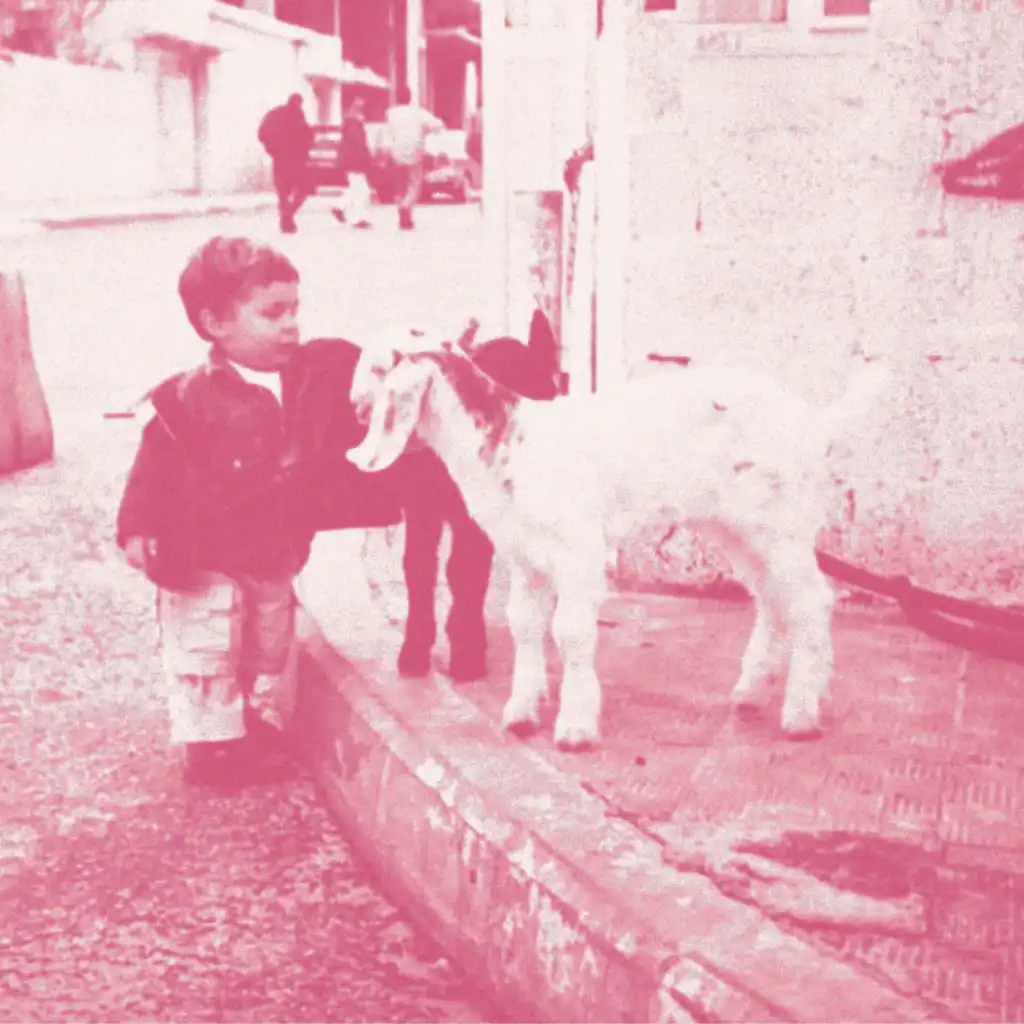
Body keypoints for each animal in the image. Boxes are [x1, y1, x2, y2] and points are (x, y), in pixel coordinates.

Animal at [347, 324, 889, 750]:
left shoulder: (578, 550)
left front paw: (576, 727)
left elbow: (570, 632)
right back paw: (752, 695)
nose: (355, 408)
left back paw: (801, 714)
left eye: (379, 367)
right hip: (739, 529)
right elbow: (524, 626)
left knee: (811, 601)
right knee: (774, 600)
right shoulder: (525, 557)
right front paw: (521, 712)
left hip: (782, 526)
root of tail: (814, 426)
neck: (513, 441)